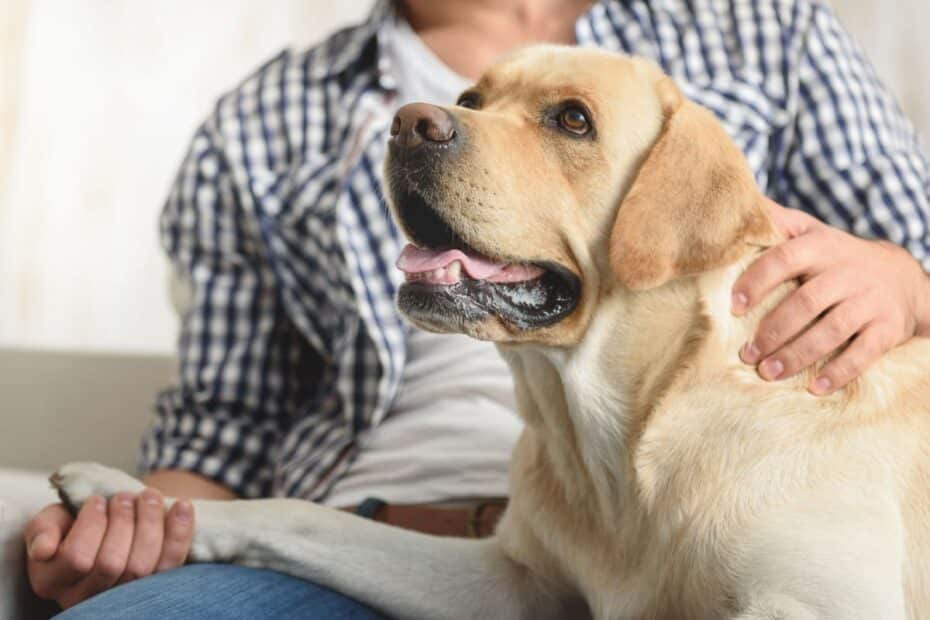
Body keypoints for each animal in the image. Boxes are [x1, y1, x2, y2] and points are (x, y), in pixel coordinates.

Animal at [49, 47, 928, 620]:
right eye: (472, 98)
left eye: (573, 120)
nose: (410, 124)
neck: (626, 438)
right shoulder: (509, 580)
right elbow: (298, 515)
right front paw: (128, 498)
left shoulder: (812, 605)